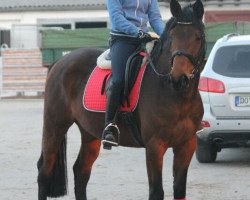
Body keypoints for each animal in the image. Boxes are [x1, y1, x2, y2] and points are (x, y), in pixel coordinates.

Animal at [36, 0, 205, 199]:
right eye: (172, 37)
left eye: (198, 37)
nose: (178, 79)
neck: (178, 98)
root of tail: (60, 62)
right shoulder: (154, 146)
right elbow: (156, 191)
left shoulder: (187, 145)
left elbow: (179, 190)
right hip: (55, 126)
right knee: (44, 172)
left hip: (90, 133)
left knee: (80, 171)